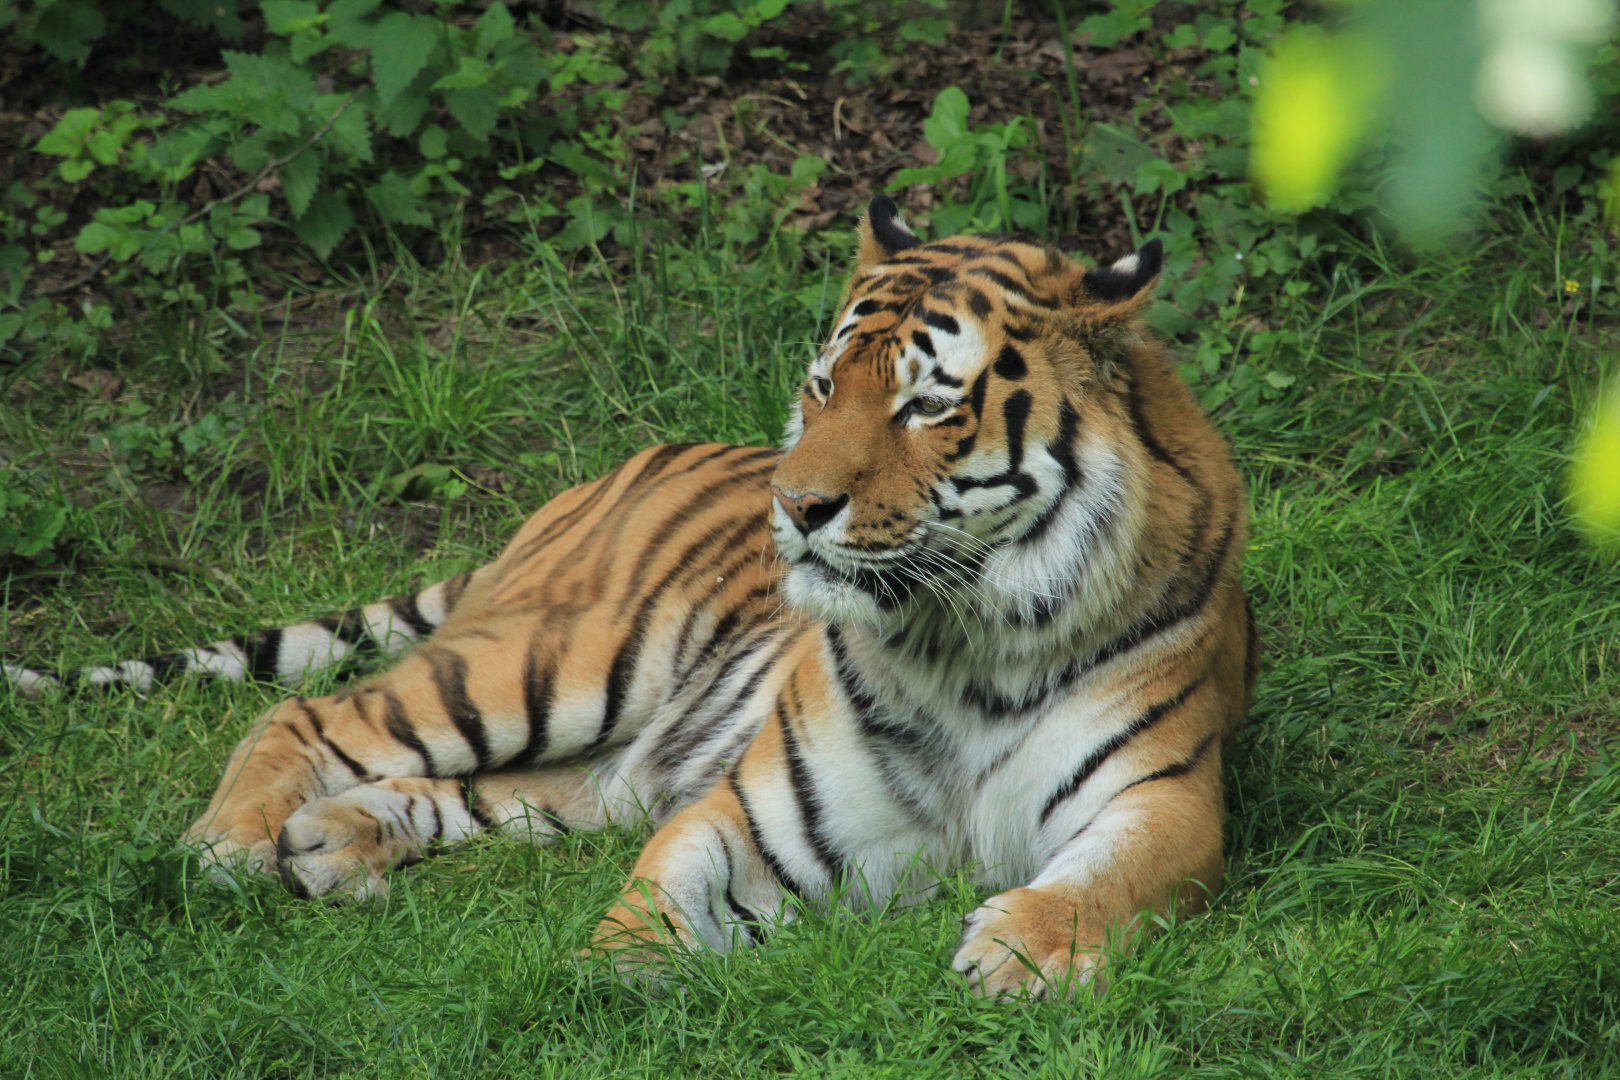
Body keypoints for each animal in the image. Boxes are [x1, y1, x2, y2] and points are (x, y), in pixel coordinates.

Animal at [3, 196, 1255, 997]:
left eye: (926, 405)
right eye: (823, 385)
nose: (798, 504)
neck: (962, 635)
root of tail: (603, 474)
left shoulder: (1168, 798)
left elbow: (1112, 878)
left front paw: (1019, 951)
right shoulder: (755, 807)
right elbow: (664, 888)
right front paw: (615, 975)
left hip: (601, 753)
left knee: (497, 791)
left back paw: (330, 842)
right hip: (558, 661)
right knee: (307, 713)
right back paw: (226, 849)